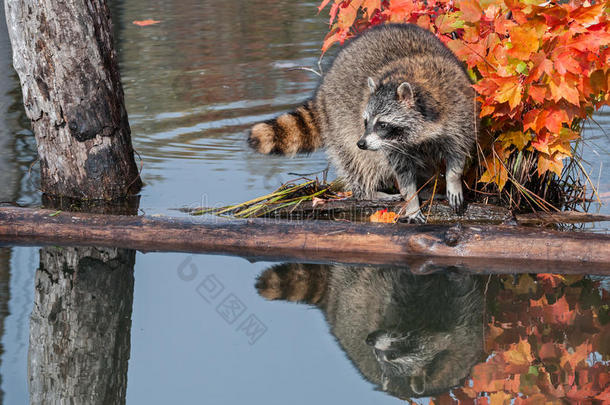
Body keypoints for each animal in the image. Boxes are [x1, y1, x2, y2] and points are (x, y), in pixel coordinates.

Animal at [247, 24, 476, 223]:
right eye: (366, 121)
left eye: (382, 124)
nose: (362, 143)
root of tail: (324, 86)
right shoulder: (391, 145)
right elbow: (402, 172)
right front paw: (411, 200)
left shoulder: (459, 111)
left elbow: (458, 150)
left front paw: (453, 180)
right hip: (339, 120)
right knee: (356, 161)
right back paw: (368, 191)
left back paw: (427, 188)